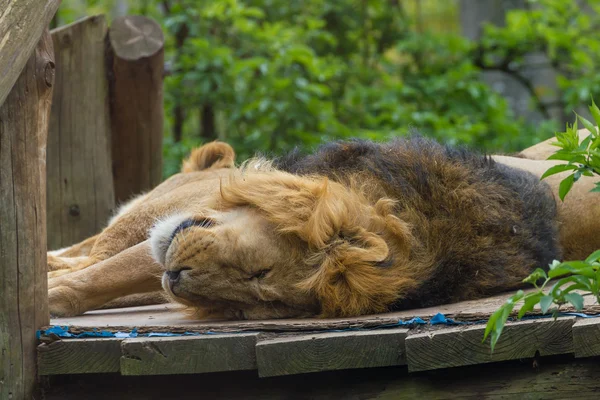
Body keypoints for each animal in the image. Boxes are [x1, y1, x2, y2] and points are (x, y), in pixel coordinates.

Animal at [48, 134, 600, 318]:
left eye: (251, 289)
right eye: (255, 270)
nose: (179, 278)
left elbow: (97, 275)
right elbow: (95, 273)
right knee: (93, 247)